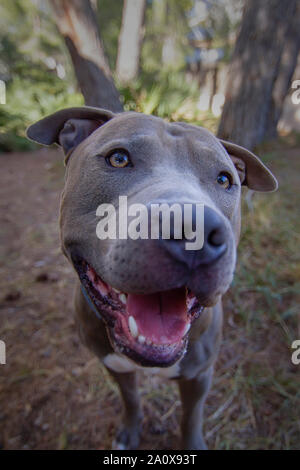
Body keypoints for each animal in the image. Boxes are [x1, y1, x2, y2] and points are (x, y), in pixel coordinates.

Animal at [27, 106, 278, 448]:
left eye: (224, 179)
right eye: (118, 158)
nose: (194, 229)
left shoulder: (199, 375)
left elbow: (191, 416)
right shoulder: (114, 366)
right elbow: (131, 399)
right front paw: (130, 431)